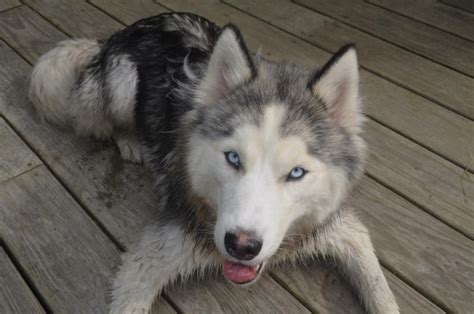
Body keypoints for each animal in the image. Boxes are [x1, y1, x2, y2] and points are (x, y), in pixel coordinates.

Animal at [29, 11, 398, 312]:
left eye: (296, 173)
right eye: (232, 157)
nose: (242, 246)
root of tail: (113, 37)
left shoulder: (343, 230)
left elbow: (380, 289)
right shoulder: (146, 260)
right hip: (121, 83)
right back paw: (132, 141)